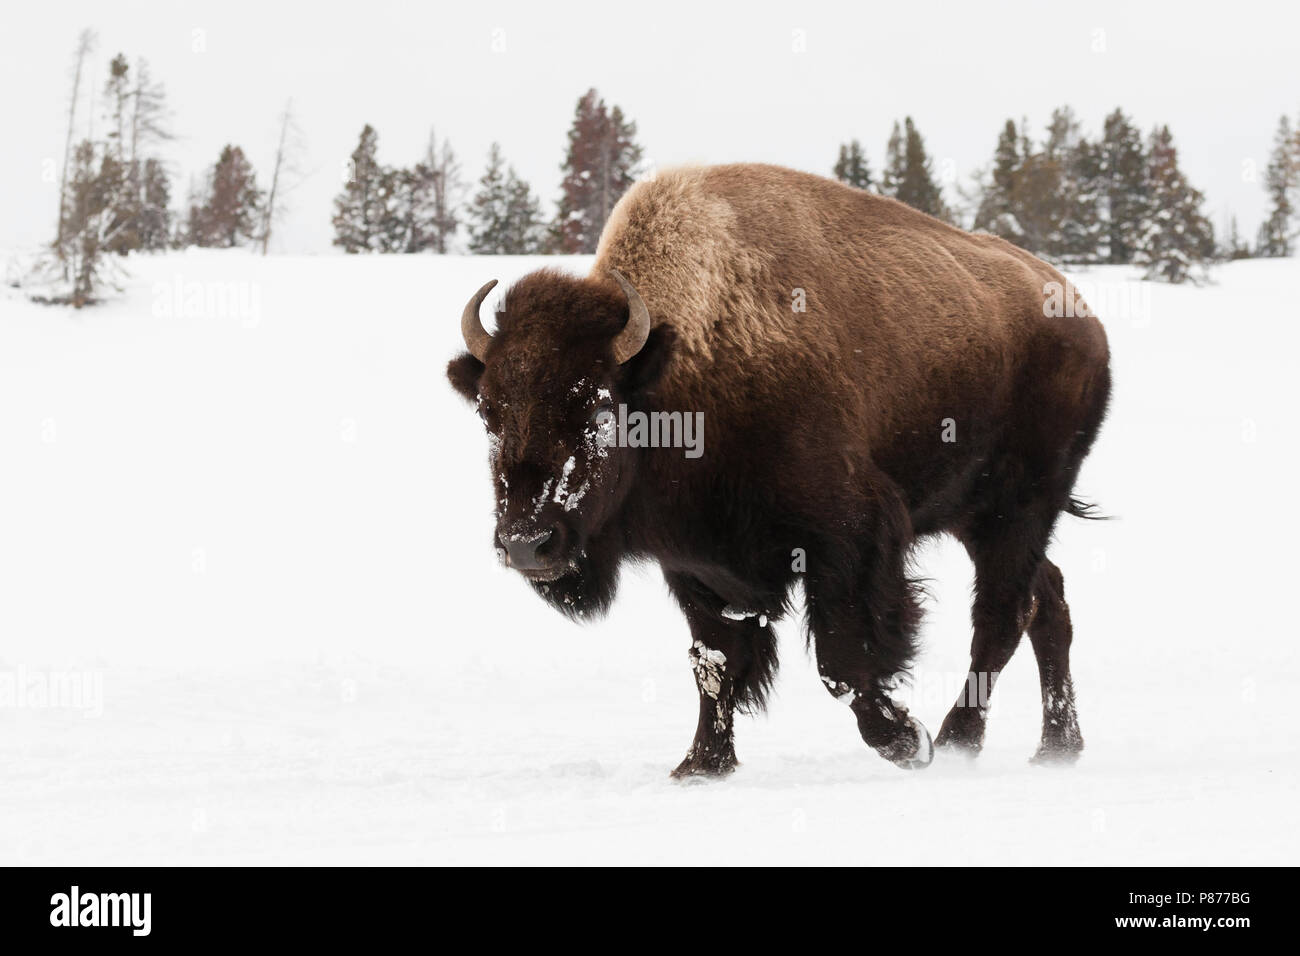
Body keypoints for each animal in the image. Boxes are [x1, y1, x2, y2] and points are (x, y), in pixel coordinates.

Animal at [447, 162, 1107, 780]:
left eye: (597, 406)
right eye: (487, 410)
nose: (527, 543)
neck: (678, 375)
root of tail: (1082, 314)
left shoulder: (848, 540)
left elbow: (843, 664)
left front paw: (906, 742)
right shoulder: (700, 567)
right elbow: (714, 664)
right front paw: (700, 767)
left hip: (1015, 510)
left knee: (1001, 617)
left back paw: (954, 742)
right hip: (979, 517)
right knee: (1047, 600)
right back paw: (1057, 747)